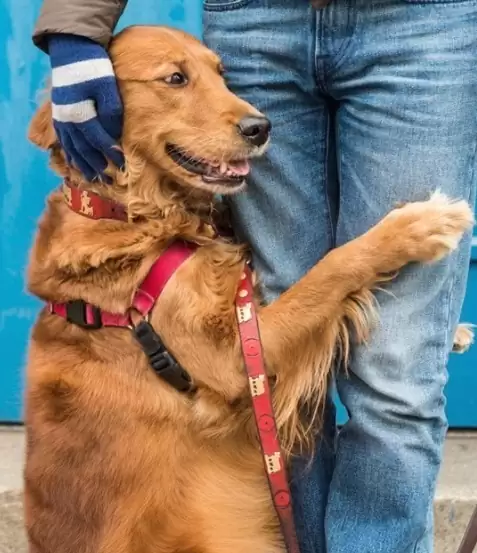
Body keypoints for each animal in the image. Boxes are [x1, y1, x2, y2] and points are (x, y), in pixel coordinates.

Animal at [25, 27, 472, 553]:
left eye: (222, 73)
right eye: (175, 78)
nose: (261, 127)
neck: (130, 214)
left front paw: (456, 330)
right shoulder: (231, 358)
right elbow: (330, 269)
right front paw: (416, 227)